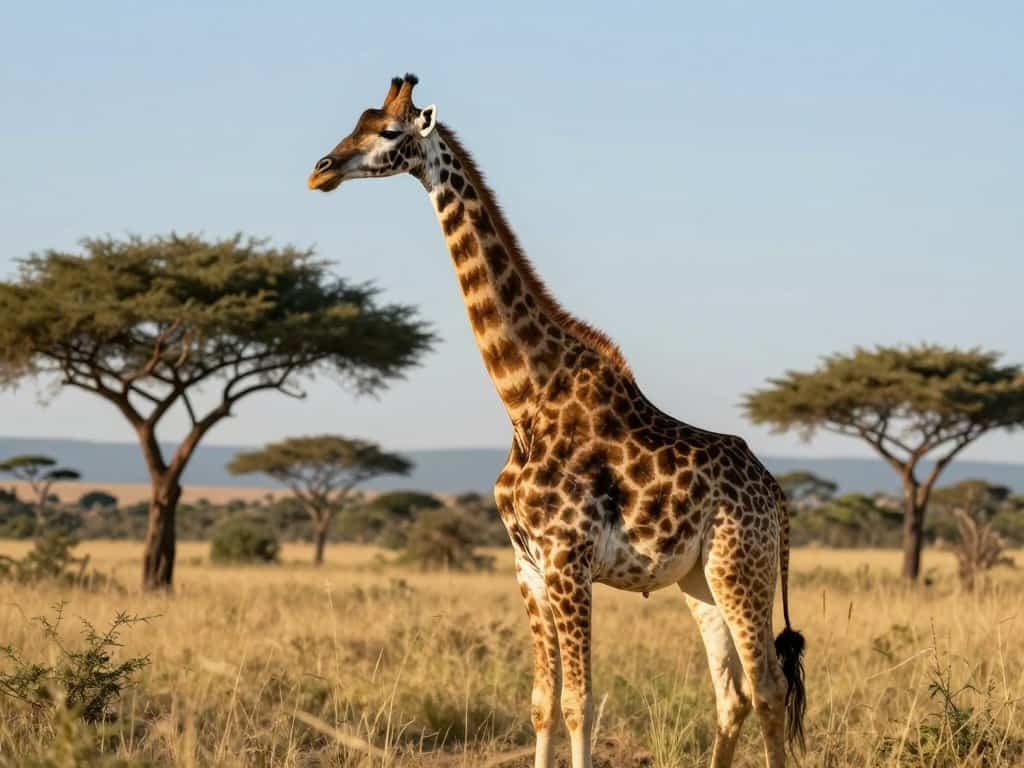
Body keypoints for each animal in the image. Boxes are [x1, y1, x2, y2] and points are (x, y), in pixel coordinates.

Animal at [308, 74, 806, 768]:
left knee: (767, 688)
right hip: (699, 579)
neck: (524, 399)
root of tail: (777, 496)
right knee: (730, 692)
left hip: (743, 569)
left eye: (388, 131)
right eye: (357, 121)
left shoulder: (569, 560)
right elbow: (542, 702)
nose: (320, 171)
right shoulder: (528, 565)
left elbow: (579, 702)